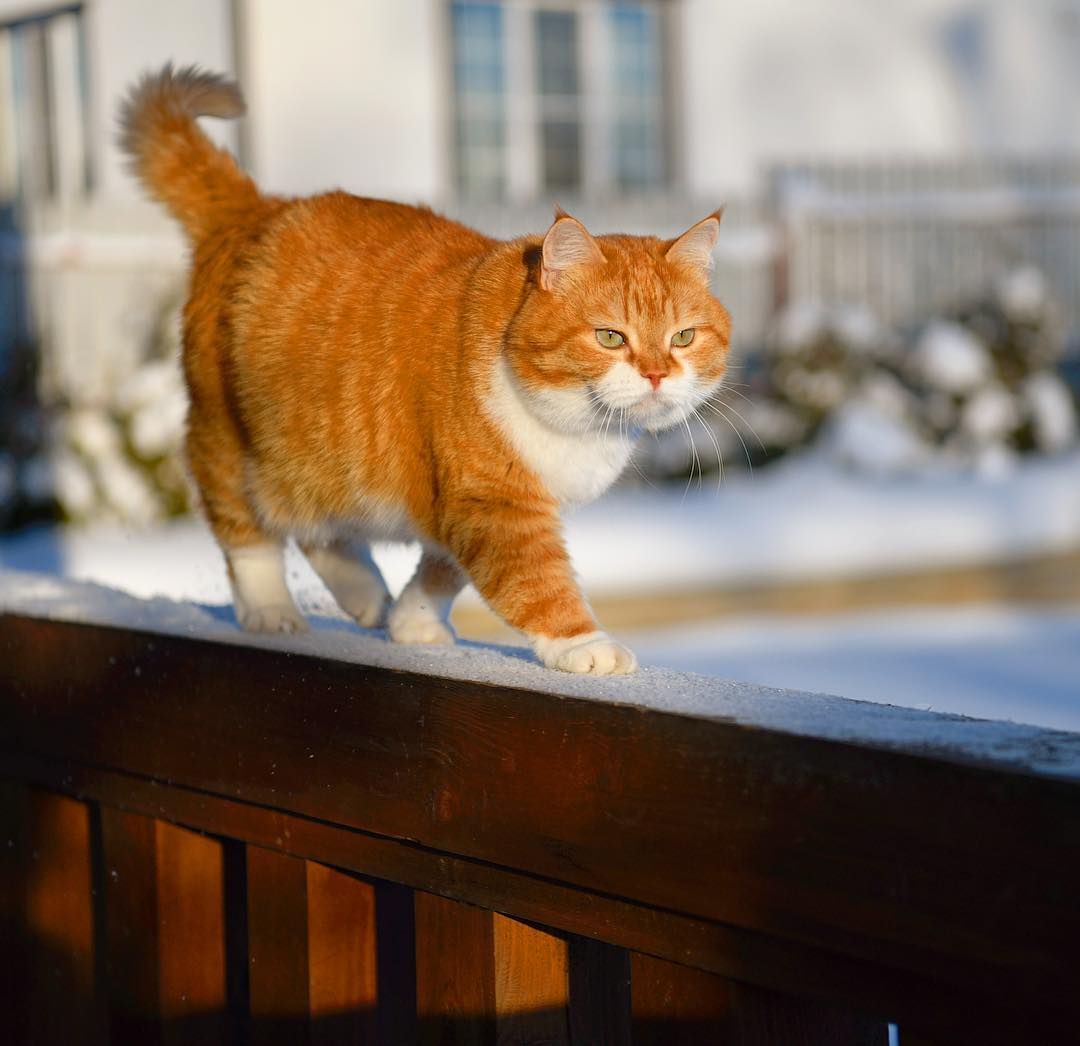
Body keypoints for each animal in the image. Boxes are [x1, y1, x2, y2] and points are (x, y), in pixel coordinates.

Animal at [120, 65, 734, 673]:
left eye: (683, 337)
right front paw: (584, 644)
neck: (576, 425)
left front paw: (413, 621)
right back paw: (271, 609)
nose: (656, 374)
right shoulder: (494, 503)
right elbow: (535, 581)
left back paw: (364, 594)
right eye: (610, 337)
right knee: (245, 529)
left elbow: (443, 570)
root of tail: (258, 208)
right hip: (227, 437)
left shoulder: (457, 505)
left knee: (320, 528)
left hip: (321, 459)